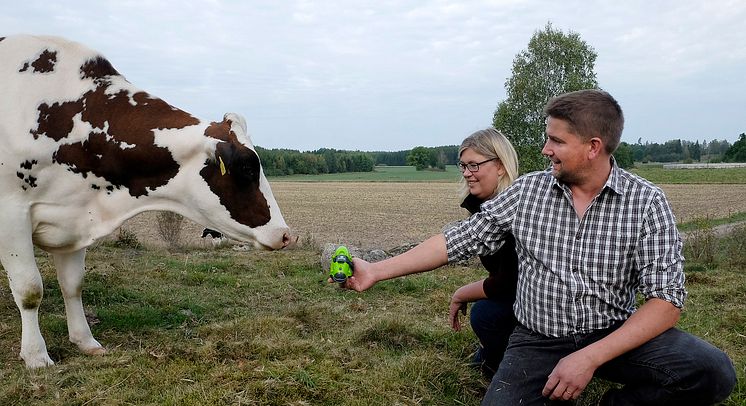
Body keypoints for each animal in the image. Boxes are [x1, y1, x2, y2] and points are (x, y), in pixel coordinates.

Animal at [0, 35, 296, 368]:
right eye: (247, 167)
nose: (286, 234)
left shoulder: (74, 217)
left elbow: (72, 285)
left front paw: (85, 341)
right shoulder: (10, 213)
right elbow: (29, 290)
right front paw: (36, 356)